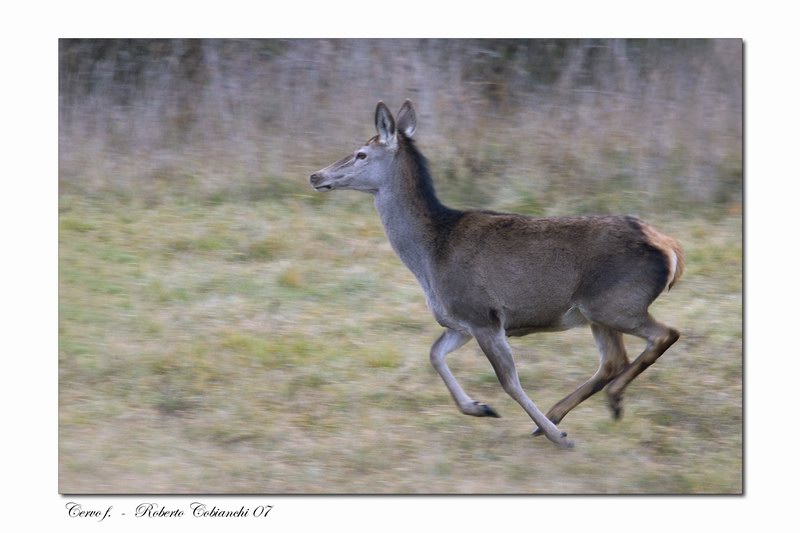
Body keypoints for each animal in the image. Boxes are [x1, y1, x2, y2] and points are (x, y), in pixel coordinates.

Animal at [310, 101, 684, 448]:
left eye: (361, 153)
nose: (316, 175)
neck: (430, 256)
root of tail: (670, 248)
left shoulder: (483, 315)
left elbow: (509, 382)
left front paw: (559, 438)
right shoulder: (460, 321)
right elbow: (434, 355)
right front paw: (480, 407)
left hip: (616, 303)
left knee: (665, 334)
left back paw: (599, 404)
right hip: (596, 313)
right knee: (613, 360)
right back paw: (560, 414)